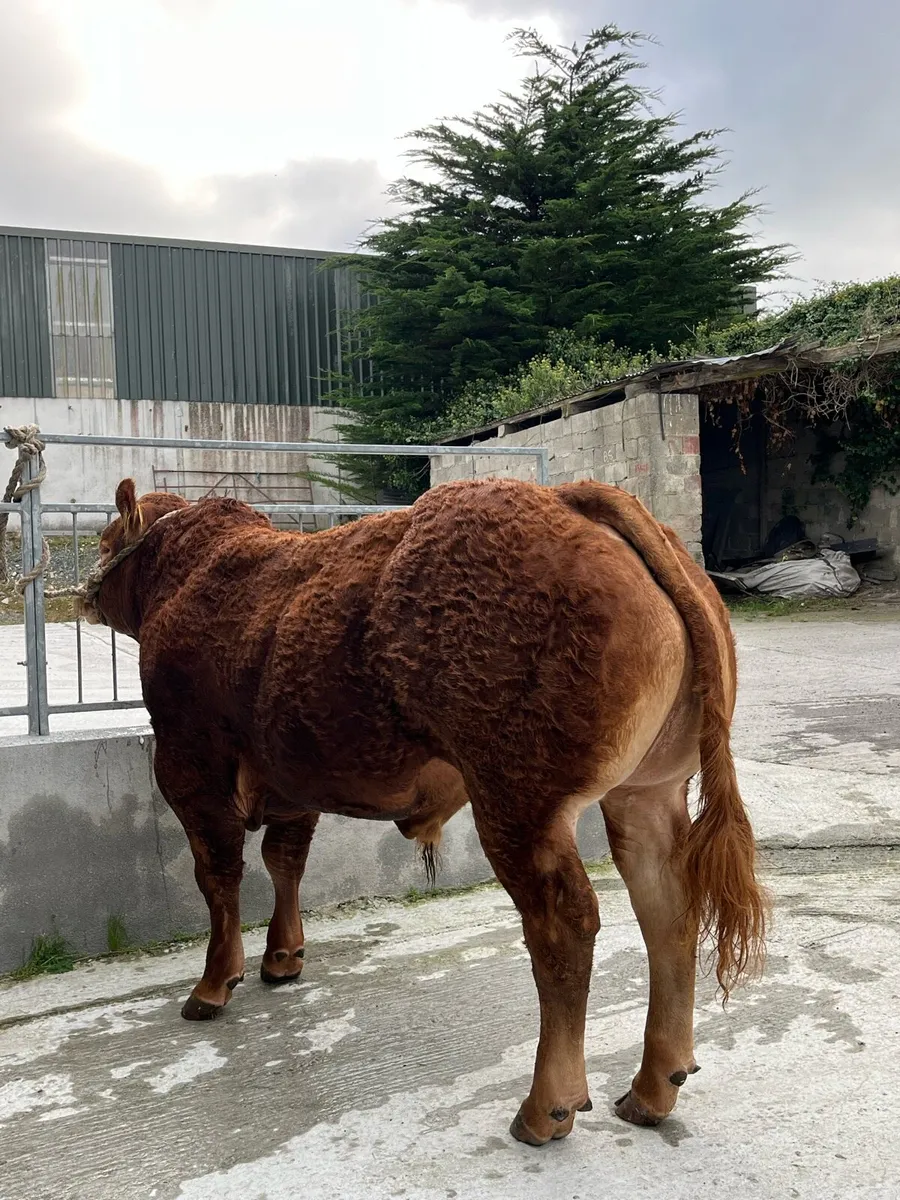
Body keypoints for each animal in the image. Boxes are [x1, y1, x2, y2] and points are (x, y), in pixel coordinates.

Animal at [81, 476, 766, 1146]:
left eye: (105, 538)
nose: (85, 590)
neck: (184, 575)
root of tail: (571, 496)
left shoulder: (188, 766)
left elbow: (218, 877)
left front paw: (213, 985)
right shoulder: (293, 777)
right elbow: (285, 860)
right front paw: (283, 958)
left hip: (519, 802)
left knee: (564, 925)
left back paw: (546, 1109)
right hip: (646, 793)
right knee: (667, 906)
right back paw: (652, 1089)